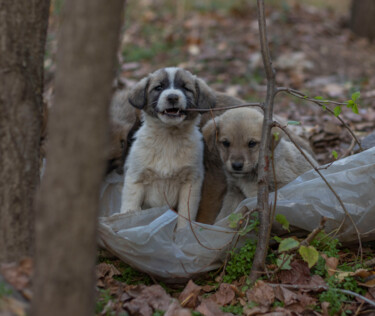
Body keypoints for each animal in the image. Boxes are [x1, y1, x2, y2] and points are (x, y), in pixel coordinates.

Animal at [119, 67, 216, 230]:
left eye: (186, 88)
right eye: (159, 87)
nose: (172, 97)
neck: (169, 138)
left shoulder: (191, 183)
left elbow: (185, 215)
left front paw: (183, 232)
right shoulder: (135, 179)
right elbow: (130, 208)